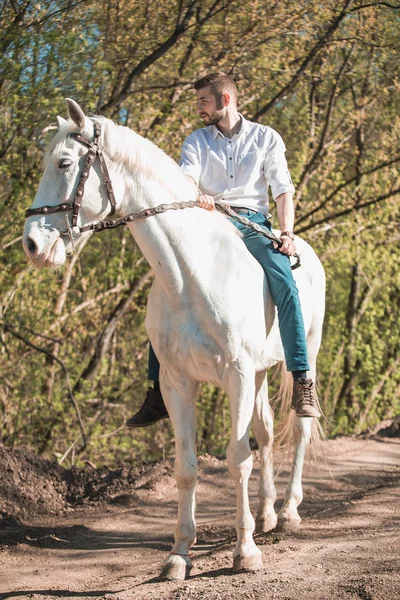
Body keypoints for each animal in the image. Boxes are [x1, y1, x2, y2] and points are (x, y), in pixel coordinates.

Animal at [22, 99, 324, 580]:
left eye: (64, 163)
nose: (32, 245)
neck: (191, 274)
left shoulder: (237, 377)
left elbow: (237, 459)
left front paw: (245, 552)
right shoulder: (177, 383)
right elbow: (187, 467)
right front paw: (179, 554)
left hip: (303, 356)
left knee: (299, 425)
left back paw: (289, 513)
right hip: (259, 374)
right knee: (265, 430)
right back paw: (267, 514)